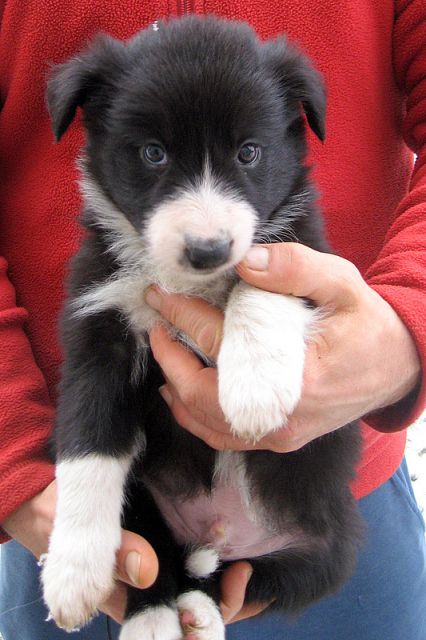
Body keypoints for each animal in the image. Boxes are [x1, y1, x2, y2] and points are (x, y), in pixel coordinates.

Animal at [41, 17, 362, 640]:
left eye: (249, 152)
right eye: (153, 153)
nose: (208, 249)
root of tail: (217, 531)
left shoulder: (310, 253)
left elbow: (262, 281)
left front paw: (255, 390)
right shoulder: (100, 320)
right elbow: (88, 445)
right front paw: (72, 571)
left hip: (324, 548)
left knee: (244, 576)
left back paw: (203, 610)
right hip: (151, 501)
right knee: (160, 555)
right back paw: (154, 615)